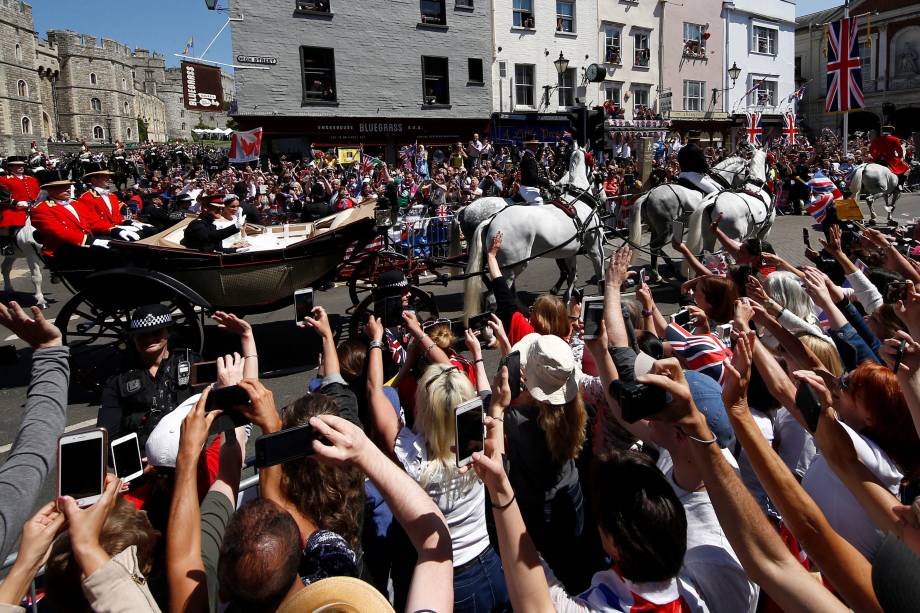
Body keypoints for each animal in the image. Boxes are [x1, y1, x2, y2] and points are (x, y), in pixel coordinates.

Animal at [464, 185, 608, 316]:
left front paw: (567, 299)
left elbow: (572, 275)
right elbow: (600, 276)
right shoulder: (595, 248)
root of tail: (491, 220)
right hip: (511, 269)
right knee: (494, 298)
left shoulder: (569, 252)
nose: (605, 198)